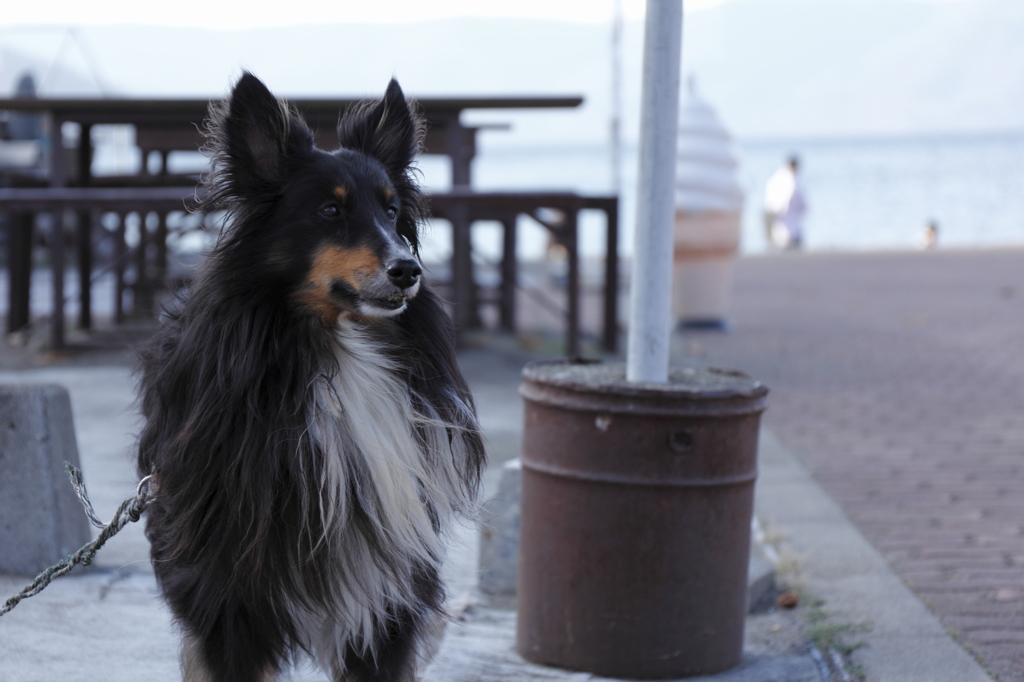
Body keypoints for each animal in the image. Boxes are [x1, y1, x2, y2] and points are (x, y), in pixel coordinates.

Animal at [136, 73, 483, 679]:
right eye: (328, 210)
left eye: (392, 212)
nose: (409, 270)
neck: (335, 350)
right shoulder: (228, 597)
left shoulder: (387, 595)